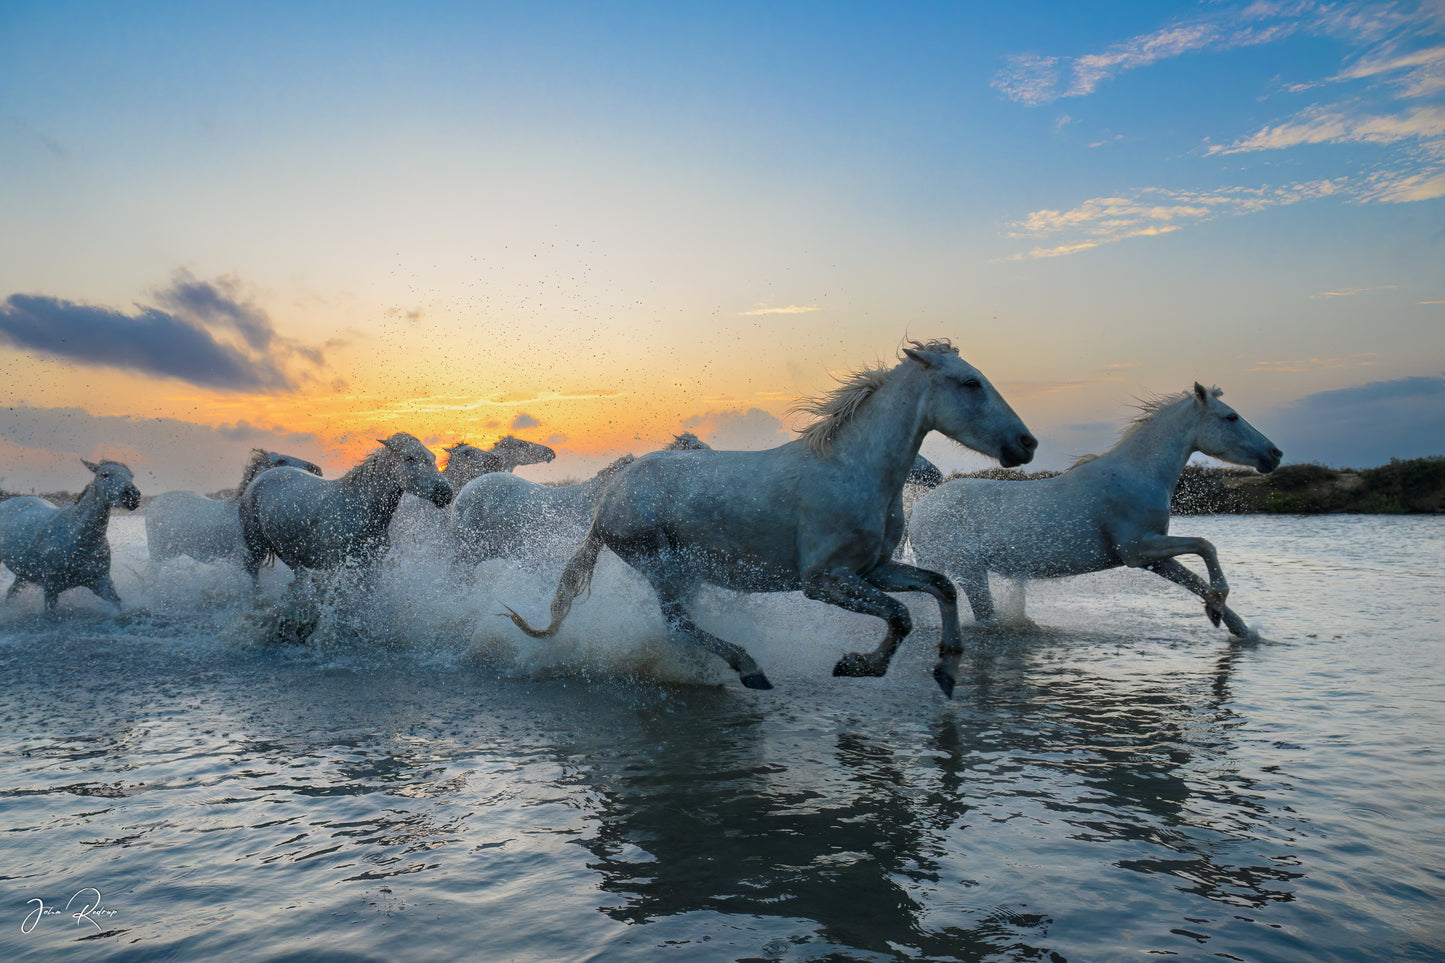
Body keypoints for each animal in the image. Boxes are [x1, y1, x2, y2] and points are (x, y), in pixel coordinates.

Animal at [0, 459, 142, 615]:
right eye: (104, 475)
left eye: (131, 476)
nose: (132, 497)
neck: (79, 539)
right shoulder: (51, 588)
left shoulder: (102, 583)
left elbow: (119, 605)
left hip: (23, 574)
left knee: (11, 592)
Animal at [238, 432, 452, 582]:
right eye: (409, 458)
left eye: (432, 458)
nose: (446, 492)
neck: (360, 509)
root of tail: (259, 479)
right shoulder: (338, 567)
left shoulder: (371, 567)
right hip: (255, 547)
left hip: (286, 552)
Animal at [502, 339, 1037, 696]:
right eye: (970, 382)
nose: (1026, 444)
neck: (854, 470)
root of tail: (608, 498)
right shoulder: (824, 581)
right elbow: (901, 617)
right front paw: (857, 665)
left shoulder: (874, 570)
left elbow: (942, 587)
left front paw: (947, 670)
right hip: (662, 565)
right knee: (677, 624)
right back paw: (749, 668)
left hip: (686, 572)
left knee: (680, 625)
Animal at [907, 383, 1282, 638]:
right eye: (1230, 417)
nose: (1274, 454)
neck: (1137, 474)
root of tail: (923, 507)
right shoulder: (1136, 548)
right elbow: (1206, 546)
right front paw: (1220, 606)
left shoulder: (1153, 558)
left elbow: (1196, 580)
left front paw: (1236, 626)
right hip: (968, 570)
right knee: (986, 618)